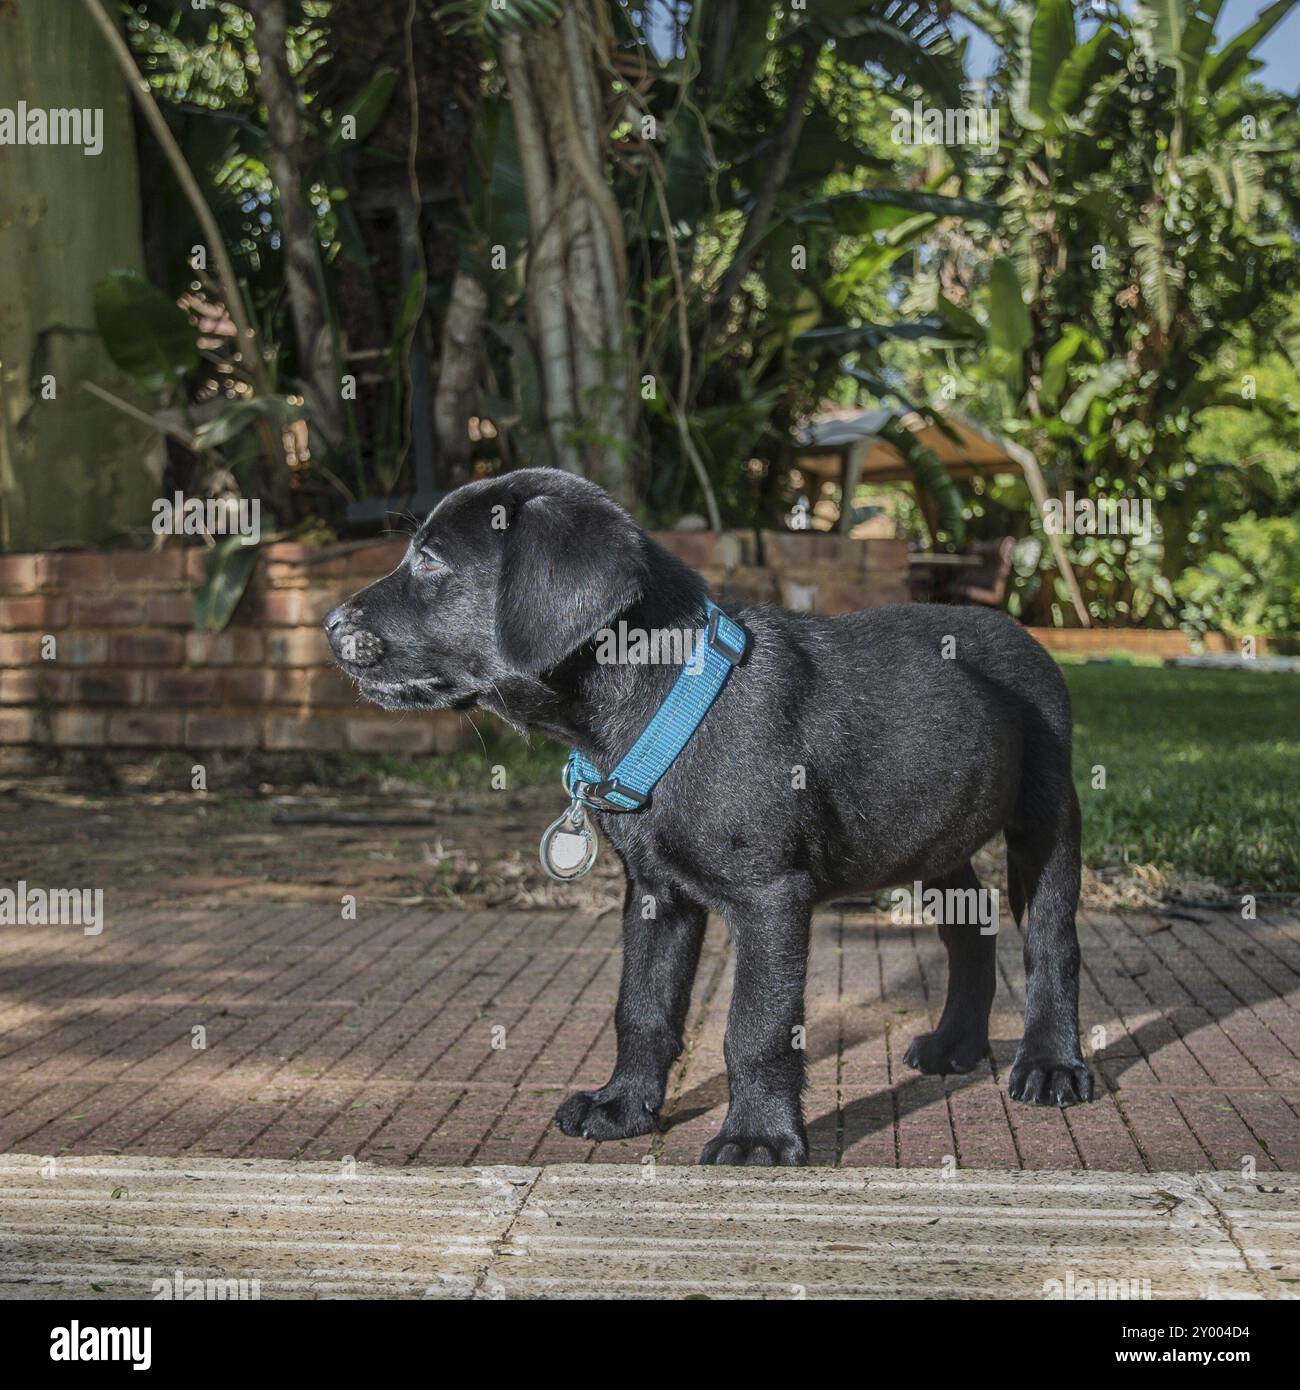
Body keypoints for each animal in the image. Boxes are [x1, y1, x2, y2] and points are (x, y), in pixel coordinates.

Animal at [322, 464, 1090, 1162]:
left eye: (430, 561)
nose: (329, 625)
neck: (660, 696)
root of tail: (1025, 635)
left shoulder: (772, 896)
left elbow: (756, 1026)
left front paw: (758, 1135)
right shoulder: (656, 894)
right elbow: (642, 1007)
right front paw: (623, 1105)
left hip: (1047, 820)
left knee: (1052, 942)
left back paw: (1051, 1063)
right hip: (928, 838)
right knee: (972, 924)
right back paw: (957, 1043)